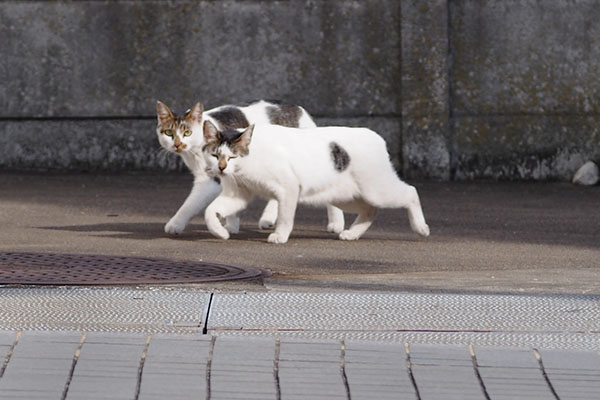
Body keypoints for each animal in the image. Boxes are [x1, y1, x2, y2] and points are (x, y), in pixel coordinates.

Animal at [155, 100, 344, 236]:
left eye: (187, 132)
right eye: (169, 133)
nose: (177, 144)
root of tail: (299, 109)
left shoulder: (209, 181)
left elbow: (189, 205)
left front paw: (175, 224)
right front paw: (231, 225)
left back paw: (336, 223)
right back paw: (269, 218)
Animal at [202, 120, 432, 242]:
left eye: (232, 157)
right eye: (215, 155)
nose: (221, 168)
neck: (252, 157)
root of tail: (376, 136)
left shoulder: (288, 188)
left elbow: (285, 217)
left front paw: (280, 236)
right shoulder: (237, 195)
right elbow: (209, 212)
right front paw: (220, 232)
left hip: (377, 190)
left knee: (411, 192)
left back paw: (421, 227)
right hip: (344, 197)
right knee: (370, 210)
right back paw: (352, 234)